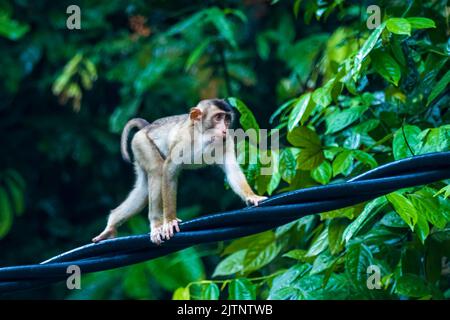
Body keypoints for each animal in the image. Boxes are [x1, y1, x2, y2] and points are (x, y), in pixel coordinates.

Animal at [92, 100, 268, 245]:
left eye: (227, 119)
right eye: (218, 117)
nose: (225, 129)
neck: (203, 137)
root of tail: (148, 127)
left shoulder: (226, 141)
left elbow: (232, 171)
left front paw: (252, 196)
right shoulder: (184, 140)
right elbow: (169, 170)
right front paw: (169, 221)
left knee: (142, 191)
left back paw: (111, 225)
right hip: (141, 142)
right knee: (157, 170)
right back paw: (157, 224)